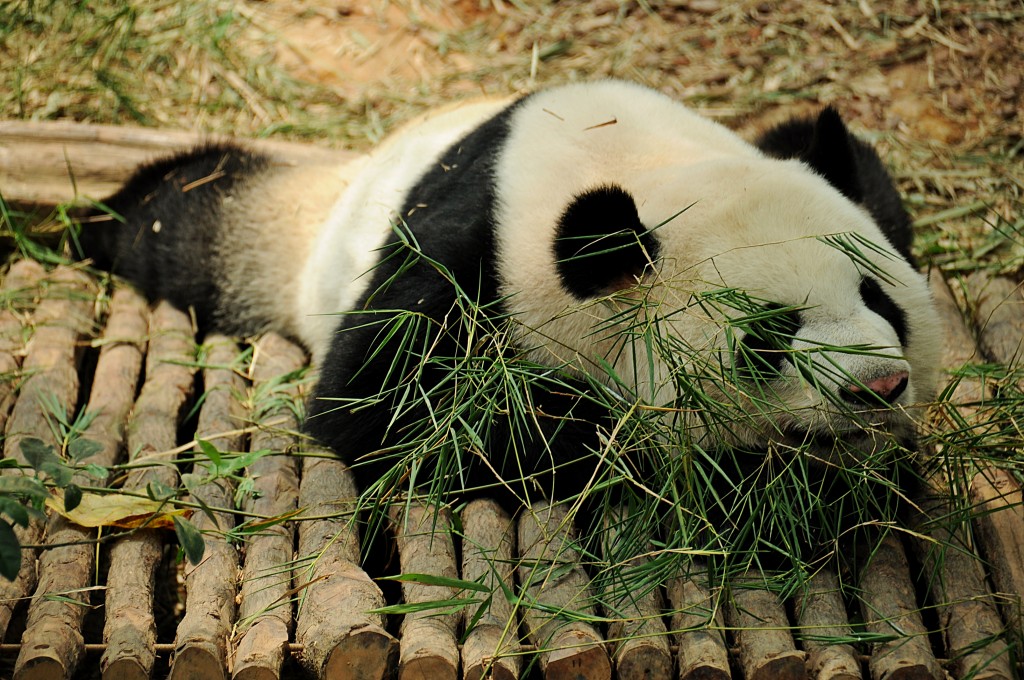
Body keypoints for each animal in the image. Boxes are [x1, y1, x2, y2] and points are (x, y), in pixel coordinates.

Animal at [80, 80, 941, 558]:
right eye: (767, 336)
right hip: (281, 244)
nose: (878, 387)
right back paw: (107, 217)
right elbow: (385, 411)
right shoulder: (470, 256)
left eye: (878, 298)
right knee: (182, 221)